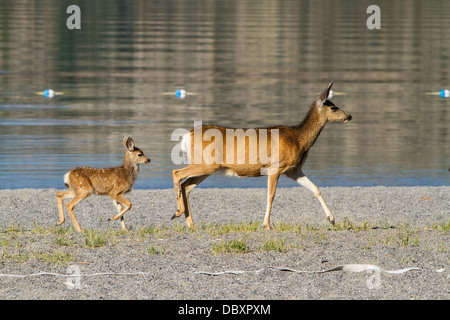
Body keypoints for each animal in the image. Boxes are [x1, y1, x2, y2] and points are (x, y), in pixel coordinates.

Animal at [172, 81, 352, 229]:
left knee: (186, 186)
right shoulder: (275, 167)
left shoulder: (293, 170)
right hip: (206, 163)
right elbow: (270, 196)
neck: (298, 139)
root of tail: (187, 135)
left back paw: (189, 223)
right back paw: (178, 212)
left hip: (207, 167)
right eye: (333, 107)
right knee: (177, 173)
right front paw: (266, 224)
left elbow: (315, 188)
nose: (349, 116)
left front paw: (332, 219)